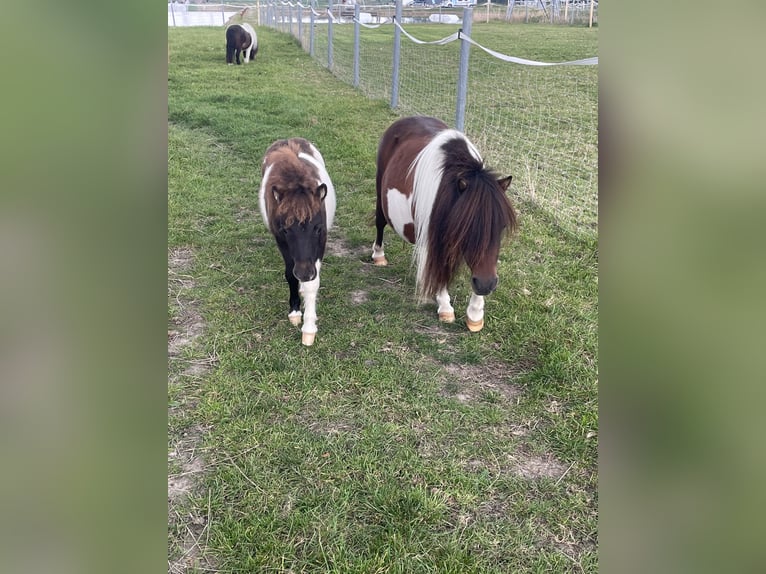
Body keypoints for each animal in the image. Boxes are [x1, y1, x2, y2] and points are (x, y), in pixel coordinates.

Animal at [260, 140, 336, 346]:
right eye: (286, 230)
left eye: (317, 228)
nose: (304, 272)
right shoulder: (281, 241)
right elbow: (290, 274)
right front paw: (294, 311)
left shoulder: (320, 243)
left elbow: (312, 284)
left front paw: (309, 329)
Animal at [374, 117, 520, 332]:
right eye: (466, 227)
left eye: (501, 227)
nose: (486, 285)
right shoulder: (436, 236)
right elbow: (439, 267)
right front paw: (445, 306)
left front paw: (475, 314)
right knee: (380, 222)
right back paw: (378, 255)